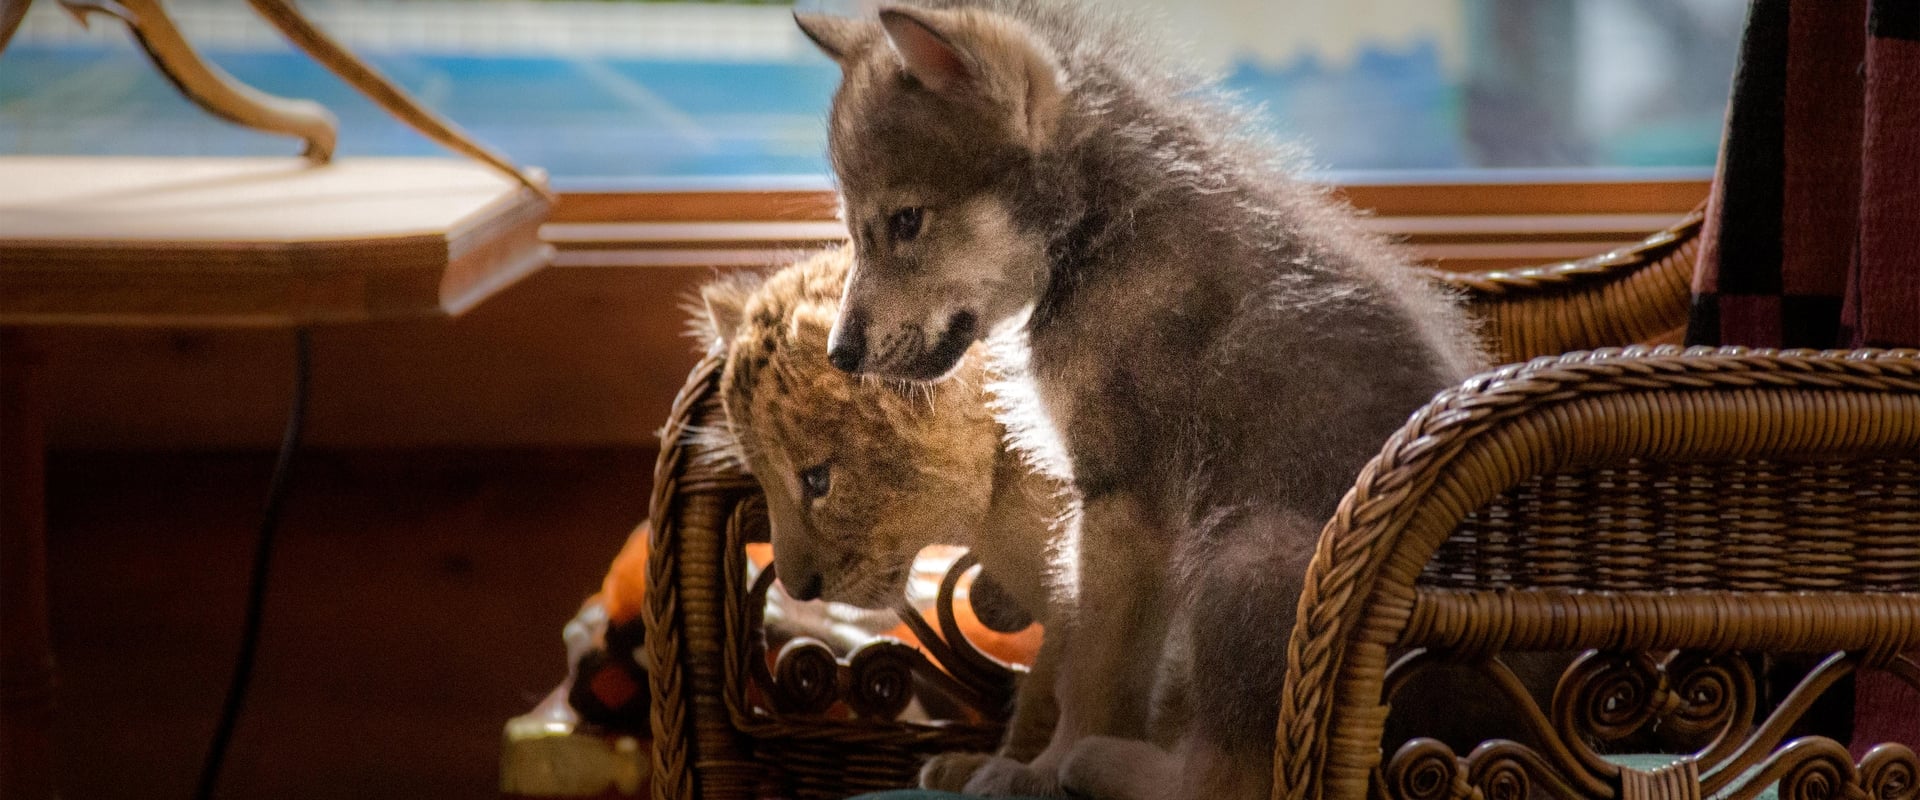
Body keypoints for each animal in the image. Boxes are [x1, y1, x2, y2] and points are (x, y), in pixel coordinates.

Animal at [794, 3, 1486, 799]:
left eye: (907, 222)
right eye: (855, 227)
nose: (840, 354)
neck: (1098, 236)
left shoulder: (1124, 506)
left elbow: (1090, 679)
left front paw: (1040, 773)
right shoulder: (1097, 517)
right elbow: (1066, 660)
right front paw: (999, 762)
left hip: (1247, 555)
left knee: (1225, 779)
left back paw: (1103, 766)